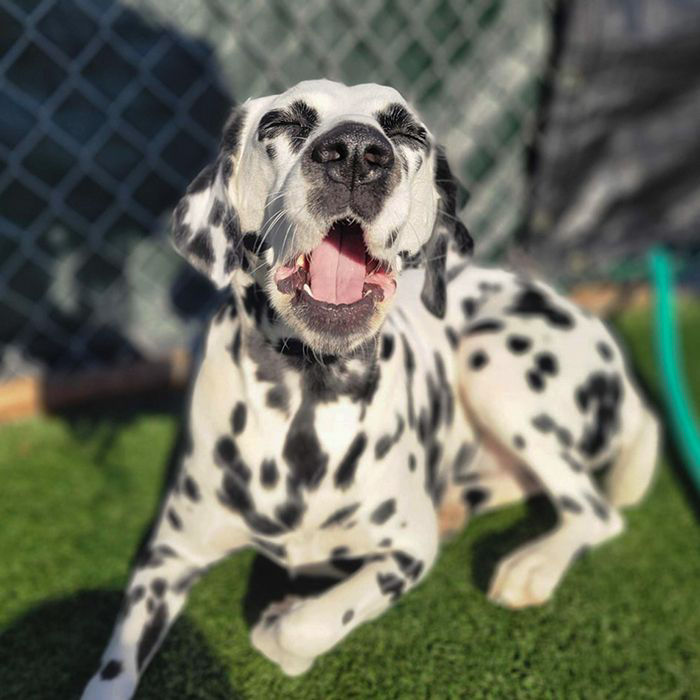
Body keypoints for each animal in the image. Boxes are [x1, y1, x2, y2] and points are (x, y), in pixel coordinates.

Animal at [82, 79, 656, 696]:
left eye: (408, 131)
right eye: (280, 122)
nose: (357, 152)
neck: (305, 406)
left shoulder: (407, 553)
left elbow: (306, 627)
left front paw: (280, 626)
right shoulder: (167, 558)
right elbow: (113, 669)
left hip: (495, 365)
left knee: (595, 512)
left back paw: (534, 565)